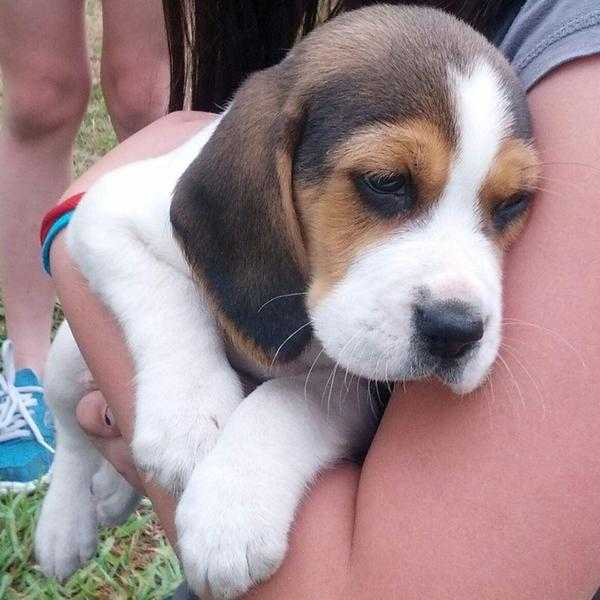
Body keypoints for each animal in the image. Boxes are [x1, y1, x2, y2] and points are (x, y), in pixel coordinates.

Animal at [36, 5, 540, 600]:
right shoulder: (104, 215)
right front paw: (188, 416)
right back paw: (64, 524)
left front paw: (230, 512)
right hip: (67, 358)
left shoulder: (364, 393)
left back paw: (111, 496)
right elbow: (168, 300)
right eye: (385, 181)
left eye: (512, 204)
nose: (457, 331)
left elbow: (285, 400)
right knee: (70, 434)